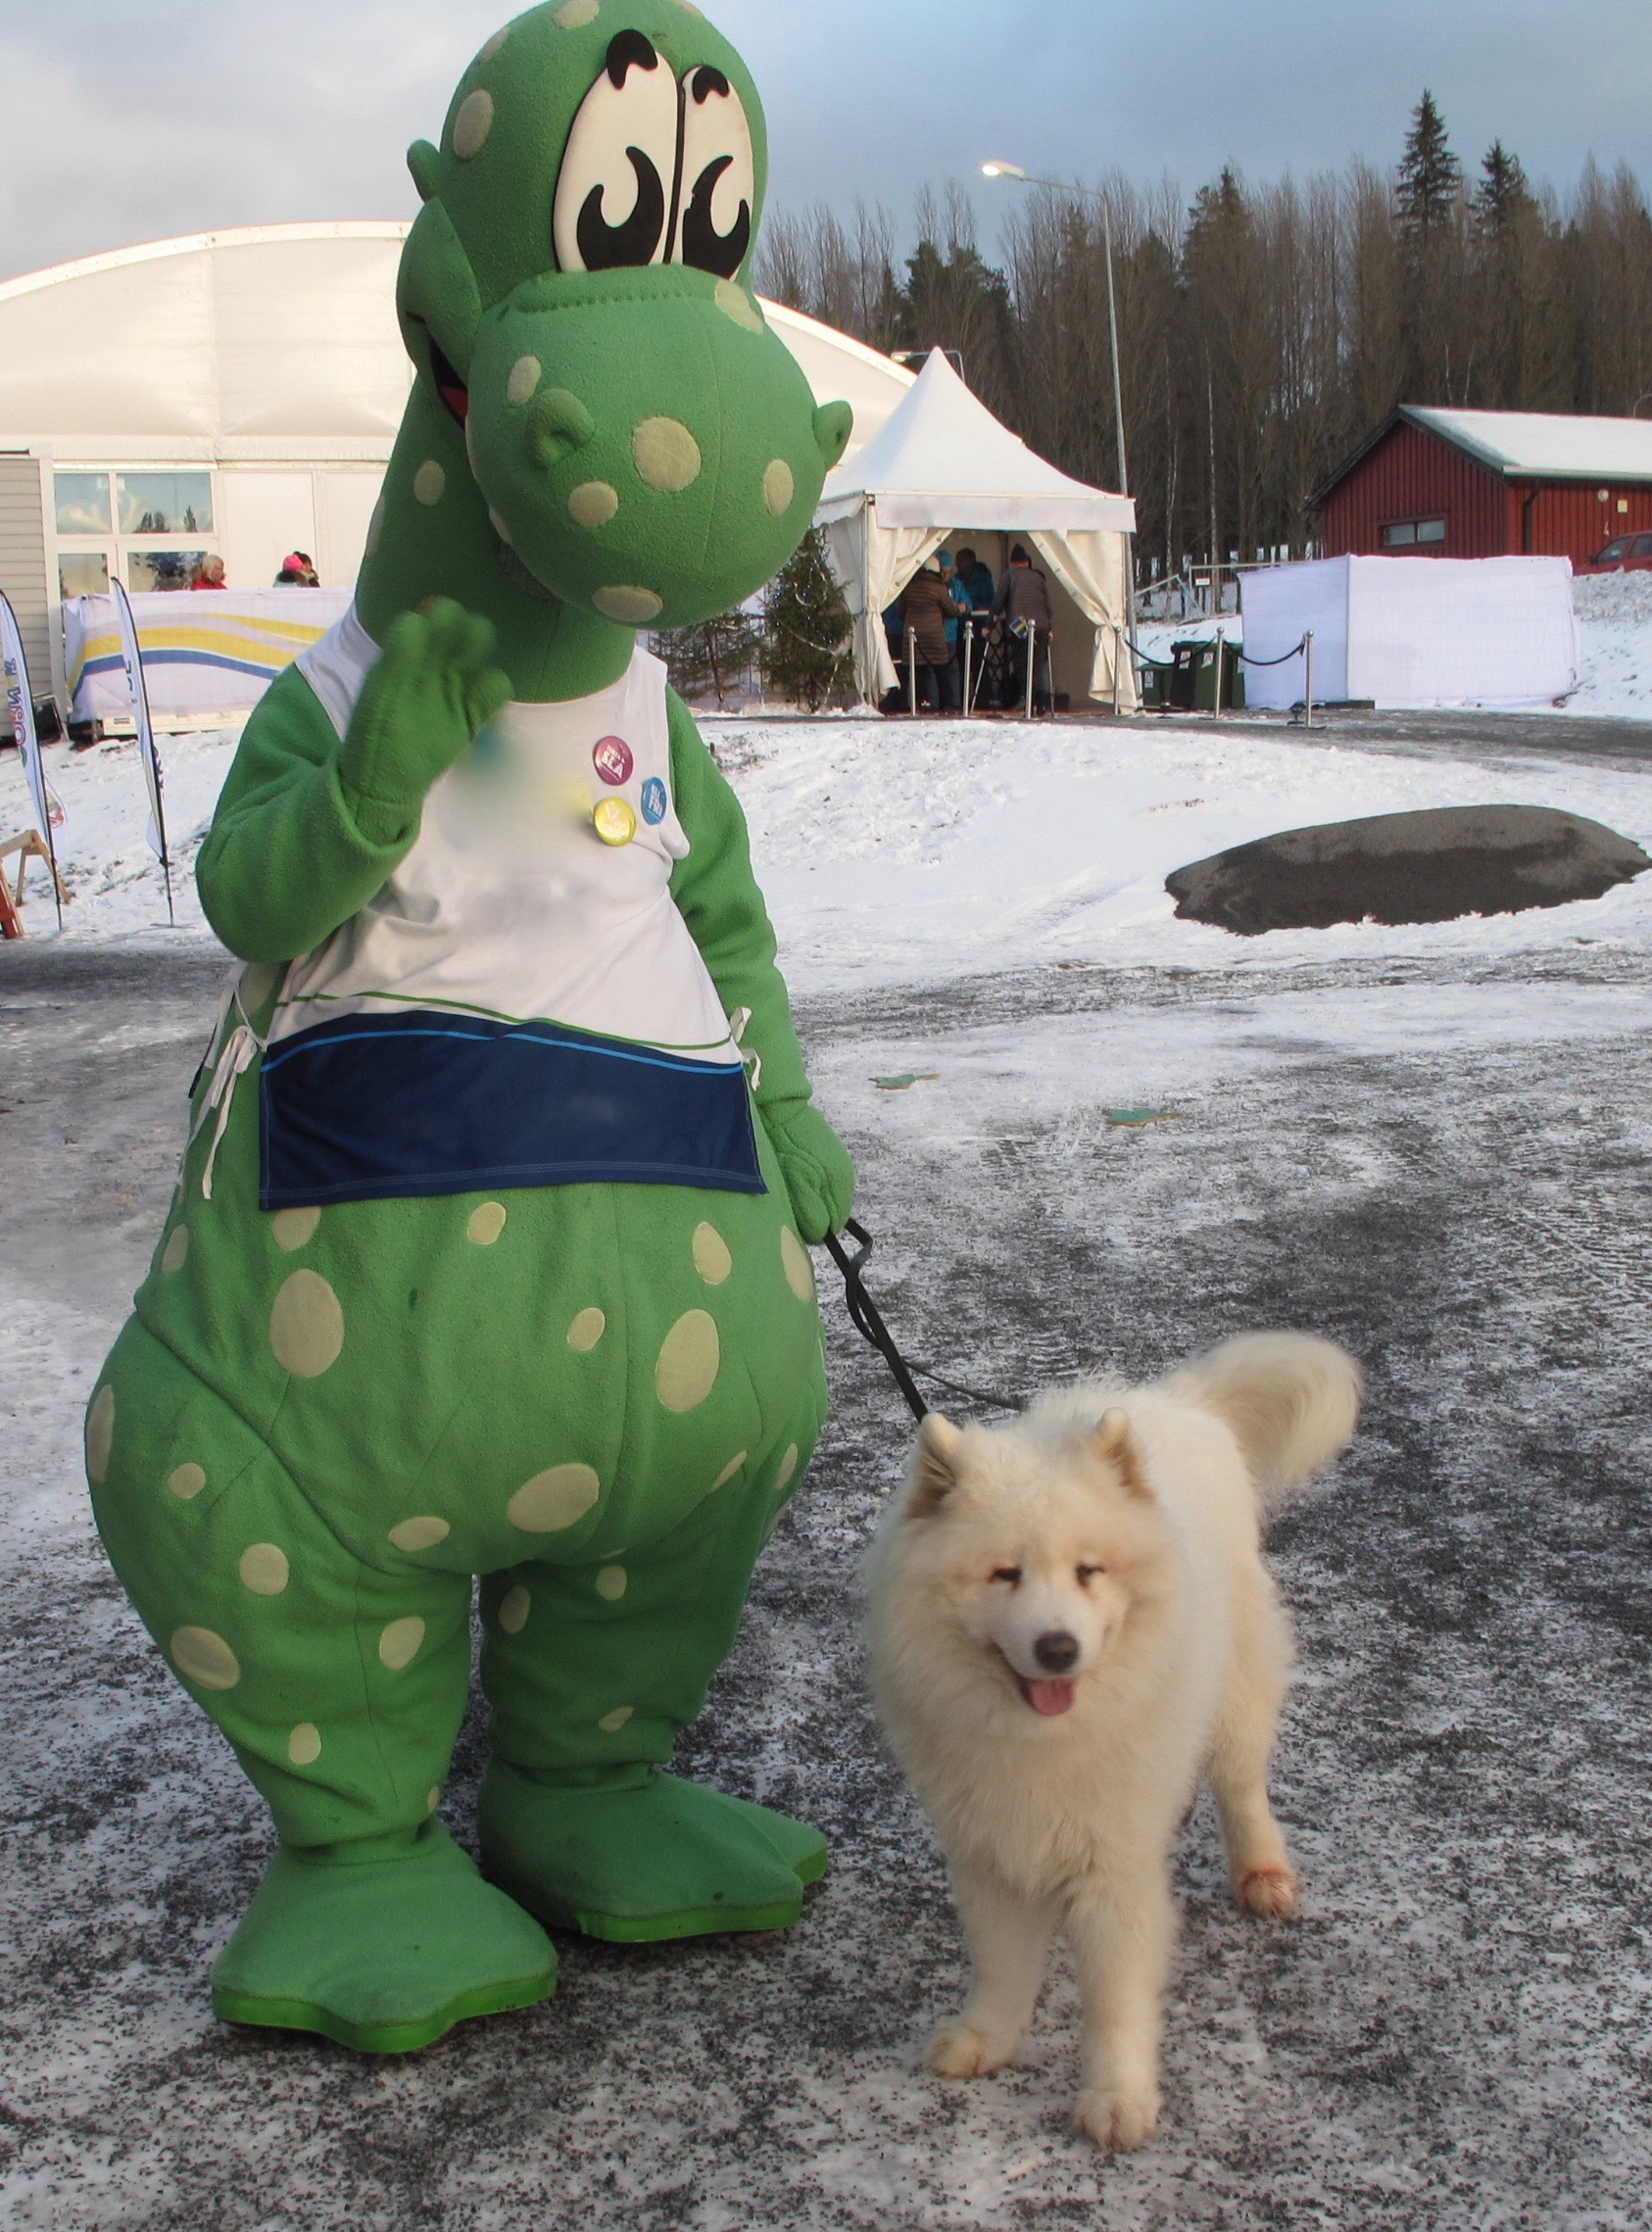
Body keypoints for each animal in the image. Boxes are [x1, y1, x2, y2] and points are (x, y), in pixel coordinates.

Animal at [866, 1330, 1357, 2151]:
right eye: (1005, 1575)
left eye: (1088, 1571)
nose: (1058, 1648)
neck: (1041, 1739)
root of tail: (1181, 1401)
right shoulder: (990, 1849)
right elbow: (1002, 1965)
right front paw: (989, 2039)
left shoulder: (1115, 1863)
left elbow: (1117, 1997)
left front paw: (1117, 2098)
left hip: (1238, 1695)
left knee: (1241, 1786)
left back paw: (1262, 1874)